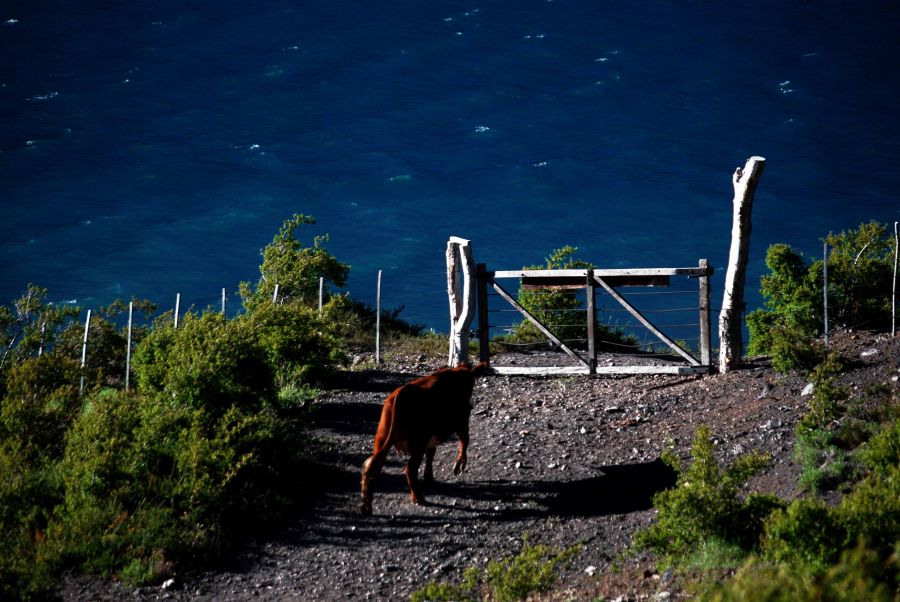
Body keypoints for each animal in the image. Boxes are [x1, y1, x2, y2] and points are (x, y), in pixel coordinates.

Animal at [358, 358, 488, 512]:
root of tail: (400, 394)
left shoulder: (431, 436)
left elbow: (431, 453)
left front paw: (429, 478)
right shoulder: (461, 420)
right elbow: (465, 440)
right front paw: (459, 464)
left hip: (382, 437)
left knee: (372, 465)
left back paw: (367, 505)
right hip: (418, 442)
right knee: (410, 469)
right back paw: (419, 498)